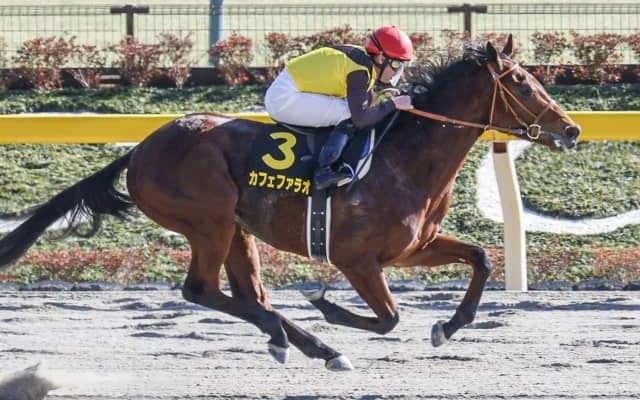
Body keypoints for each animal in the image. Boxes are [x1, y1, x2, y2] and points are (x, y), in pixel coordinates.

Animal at [0, 36, 580, 371]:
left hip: (236, 228)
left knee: (245, 293)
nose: (571, 130)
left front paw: (448, 327)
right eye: (523, 85)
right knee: (201, 290)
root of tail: (140, 149)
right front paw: (326, 305)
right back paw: (315, 343)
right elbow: (388, 318)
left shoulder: (414, 247)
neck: (404, 158)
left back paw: (298, 341)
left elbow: (480, 258)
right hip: (209, 221)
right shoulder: (356, 259)